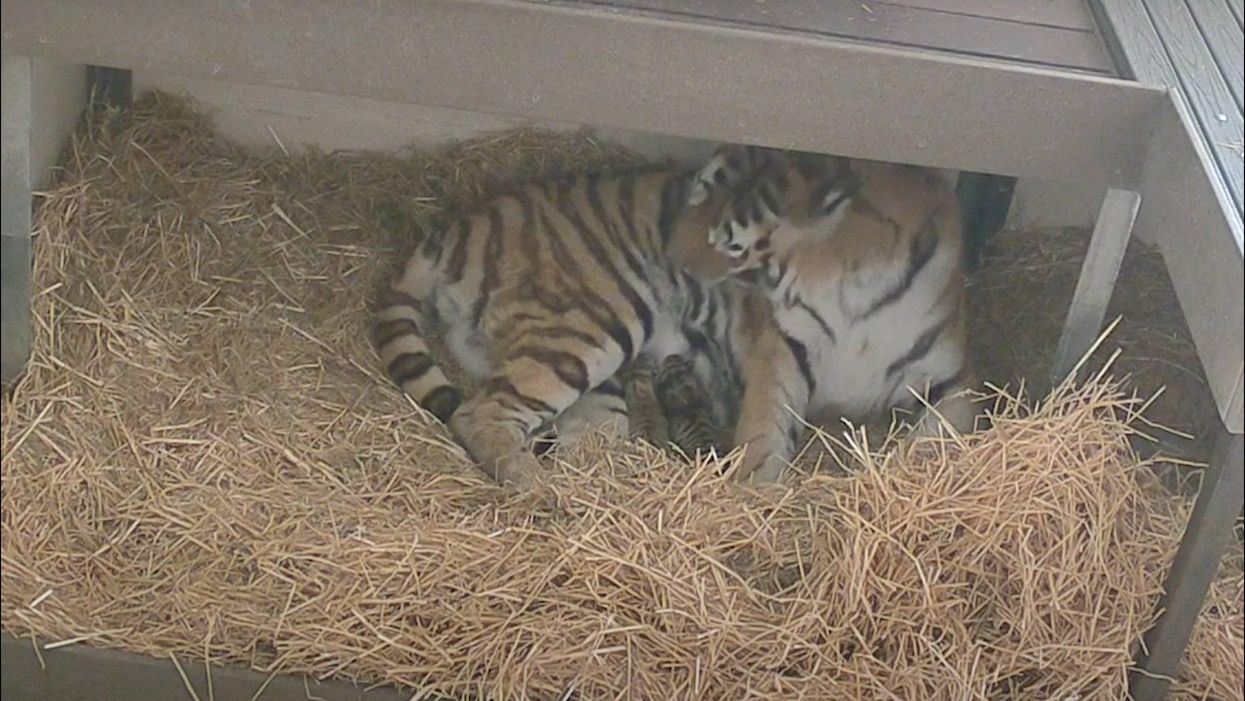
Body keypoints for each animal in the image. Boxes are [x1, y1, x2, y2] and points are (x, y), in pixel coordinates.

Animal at [677, 144, 979, 480]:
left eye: (731, 248)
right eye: (699, 189)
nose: (674, 261)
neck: (856, 290)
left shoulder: (953, 382)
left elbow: (934, 443)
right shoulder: (784, 350)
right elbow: (763, 435)